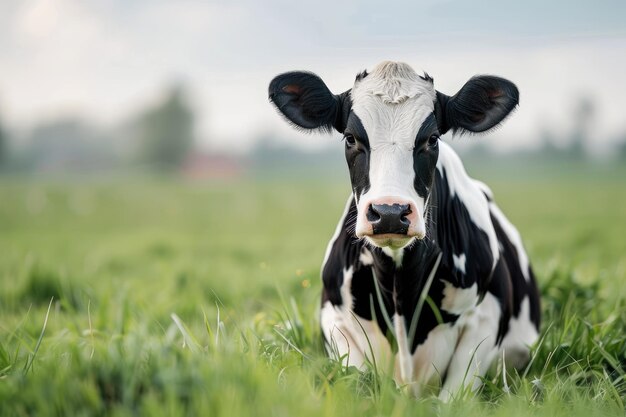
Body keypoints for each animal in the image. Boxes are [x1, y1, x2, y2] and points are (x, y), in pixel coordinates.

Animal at [266, 61, 536, 400]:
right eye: (350, 138)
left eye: (432, 138)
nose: (390, 213)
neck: (399, 290)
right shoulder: (335, 319)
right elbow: (357, 383)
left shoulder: (486, 321)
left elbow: (453, 398)